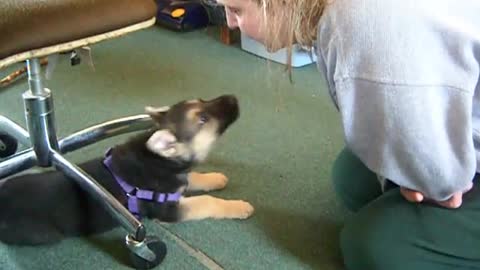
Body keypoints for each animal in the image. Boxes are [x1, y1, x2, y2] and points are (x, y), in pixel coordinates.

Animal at [0, 96, 255, 246]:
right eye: (203, 118)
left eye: (202, 100)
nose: (233, 98)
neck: (160, 160)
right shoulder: (167, 209)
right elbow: (207, 201)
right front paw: (239, 207)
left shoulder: (177, 180)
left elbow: (193, 178)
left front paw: (215, 178)